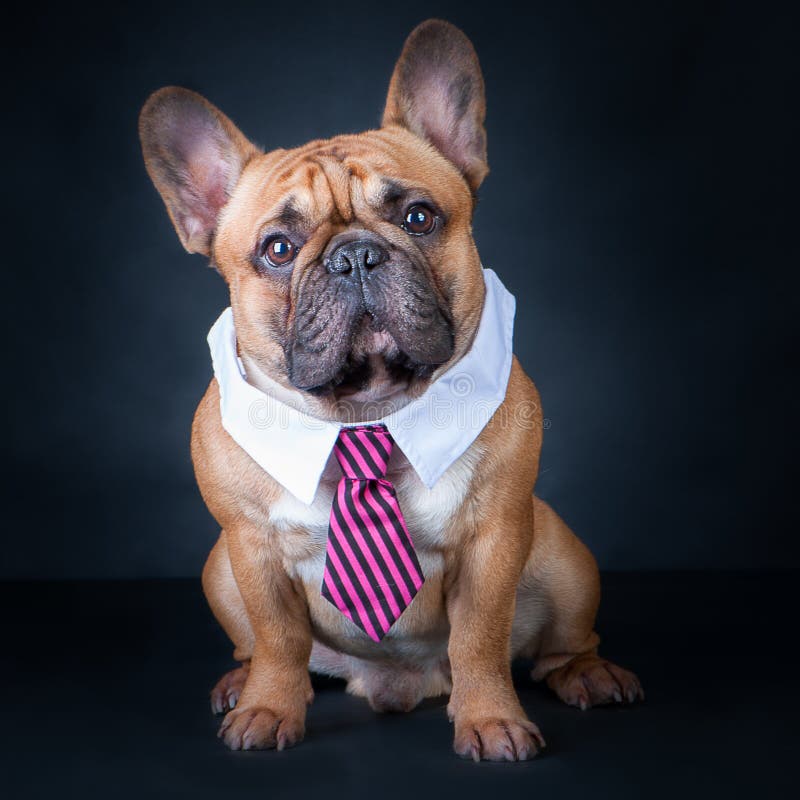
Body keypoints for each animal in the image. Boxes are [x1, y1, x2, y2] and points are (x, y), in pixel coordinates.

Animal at [139, 18, 644, 764]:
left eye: (418, 218)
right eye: (278, 249)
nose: (354, 255)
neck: (364, 412)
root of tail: (401, 684)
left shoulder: (496, 539)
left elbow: (480, 637)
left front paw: (491, 719)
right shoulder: (251, 551)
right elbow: (280, 639)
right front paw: (268, 709)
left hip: (563, 559)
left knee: (561, 644)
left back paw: (589, 674)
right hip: (218, 572)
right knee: (259, 647)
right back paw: (241, 684)